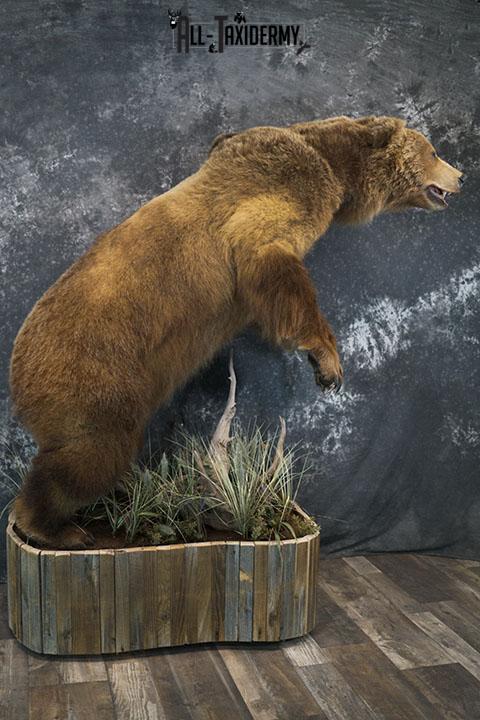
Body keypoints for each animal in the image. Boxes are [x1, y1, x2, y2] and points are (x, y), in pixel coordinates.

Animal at [9, 115, 464, 548]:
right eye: (434, 150)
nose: (460, 176)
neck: (335, 166)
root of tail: (18, 378)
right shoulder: (273, 199)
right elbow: (269, 260)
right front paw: (328, 363)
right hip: (97, 376)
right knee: (89, 455)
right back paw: (55, 529)